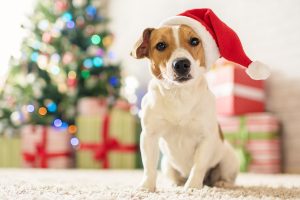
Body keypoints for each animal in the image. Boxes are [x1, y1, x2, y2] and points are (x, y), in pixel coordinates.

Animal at [131, 24, 239, 192]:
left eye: (194, 41)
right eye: (160, 45)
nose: (181, 64)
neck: (179, 94)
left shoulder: (206, 137)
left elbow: (198, 166)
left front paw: (193, 187)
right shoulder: (149, 136)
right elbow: (149, 166)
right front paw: (147, 187)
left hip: (228, 159)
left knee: (223, 176)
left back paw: (222, 183)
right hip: (167, 164)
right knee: (174, 175)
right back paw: (176, 183)